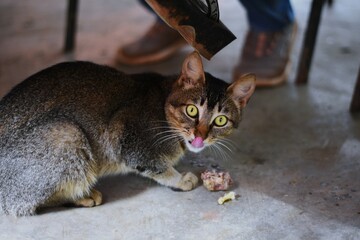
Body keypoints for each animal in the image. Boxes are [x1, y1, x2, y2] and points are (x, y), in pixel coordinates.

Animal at [0, 51, 255, 217]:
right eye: (192, 110)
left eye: (220, 120)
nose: (200, 136)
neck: (162, 103)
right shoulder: (127, 137)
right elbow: (157, 167)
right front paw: (180, 179)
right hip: (67, 133)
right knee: (21, 203)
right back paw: (81, 195)